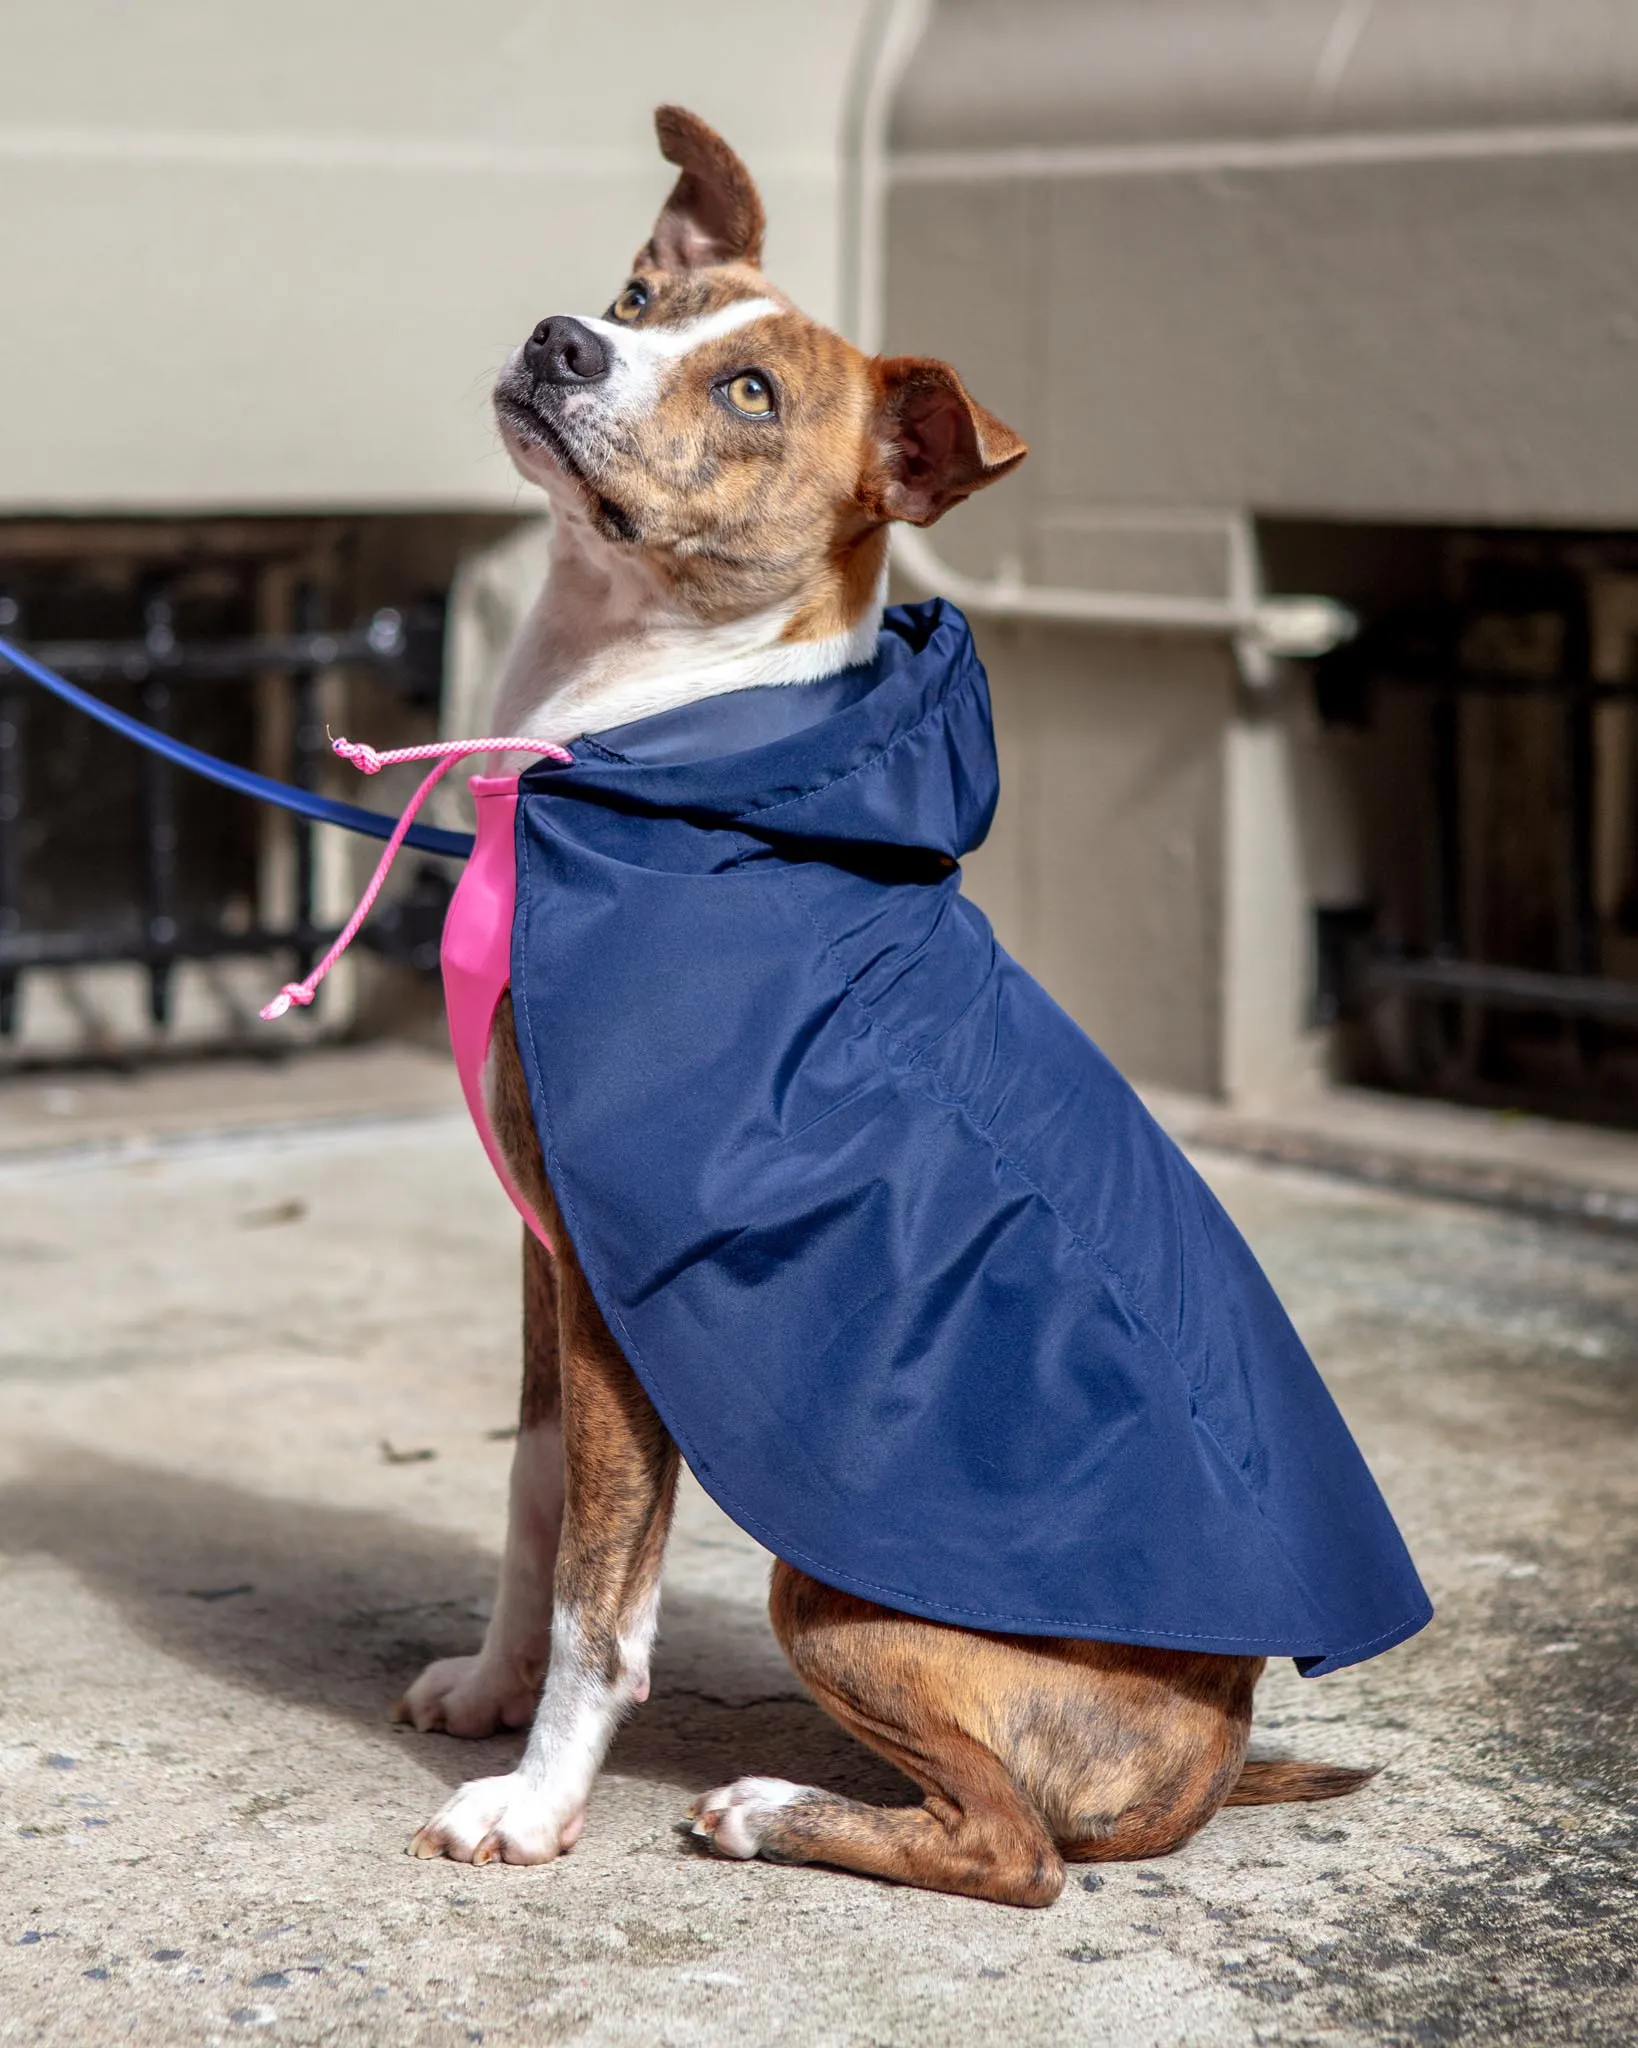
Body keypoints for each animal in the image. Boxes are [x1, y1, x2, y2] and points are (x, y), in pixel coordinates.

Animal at [386, 108, 1408, 1900]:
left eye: (748, 393)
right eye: (635, 298)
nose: (562, 340)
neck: (653, 718)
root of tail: (1214, 1758)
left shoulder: (625, 1289)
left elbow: (603, 1589)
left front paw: (536, 1798)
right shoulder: (549, 1252)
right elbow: (528, 1499)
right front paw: (492, 1691)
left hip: (837, 1594)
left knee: (1016, 1848)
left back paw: (771, 1808)